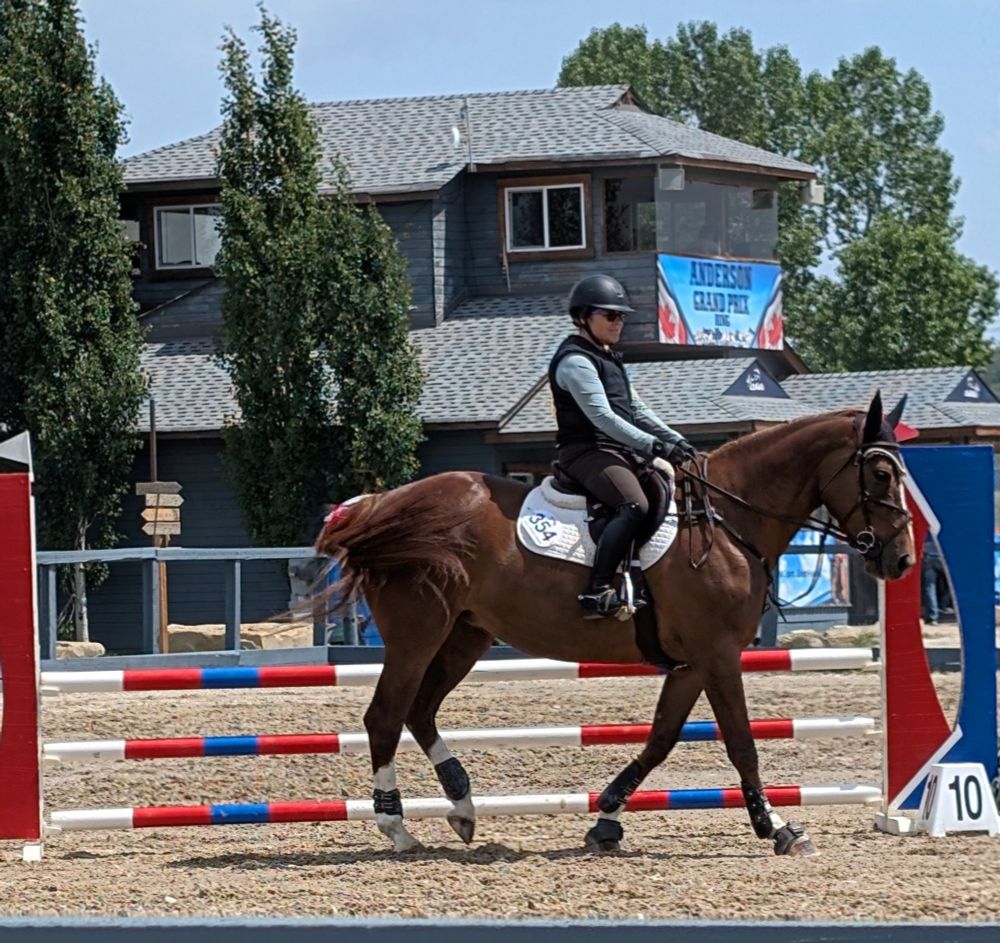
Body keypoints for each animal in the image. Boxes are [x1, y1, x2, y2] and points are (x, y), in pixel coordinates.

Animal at [314, 392, 914, 857]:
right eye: (883, 474)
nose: (902, 560)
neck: (728, 520)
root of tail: (380, 504)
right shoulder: (718, 653)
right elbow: (741, 742)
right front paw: (779, 828)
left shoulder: (693, 662)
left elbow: (662, 738)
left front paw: (605, 817)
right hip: (416, 636)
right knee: (385, 717)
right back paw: (397, 827)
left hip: (466, 634)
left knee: (420, 711)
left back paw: (462, 805)